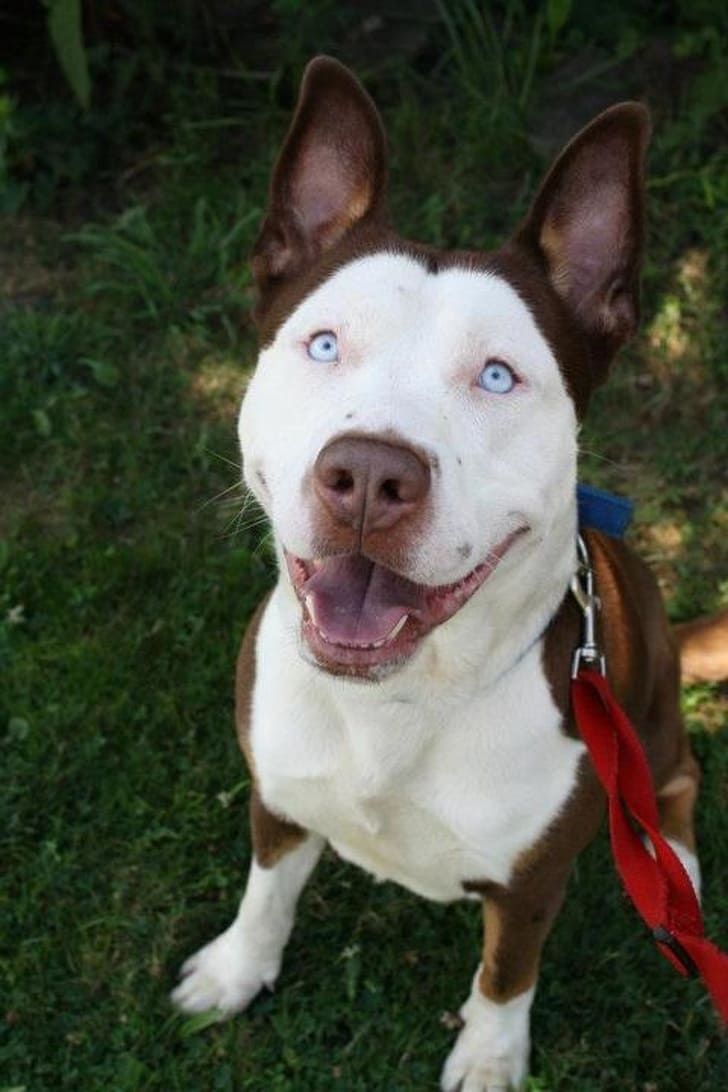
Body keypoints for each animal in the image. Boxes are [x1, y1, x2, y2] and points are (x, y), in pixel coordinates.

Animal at [172, 57, 715, 1083]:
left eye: (499, 376)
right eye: (325, 342)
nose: (368, 477)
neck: (400, 698)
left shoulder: (533, 882)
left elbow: (506, 974)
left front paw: (491, 1058)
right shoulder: (276, 797)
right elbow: (266, 892)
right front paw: (236, 970)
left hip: (654, 715)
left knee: (676, 783)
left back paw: (679, 877)